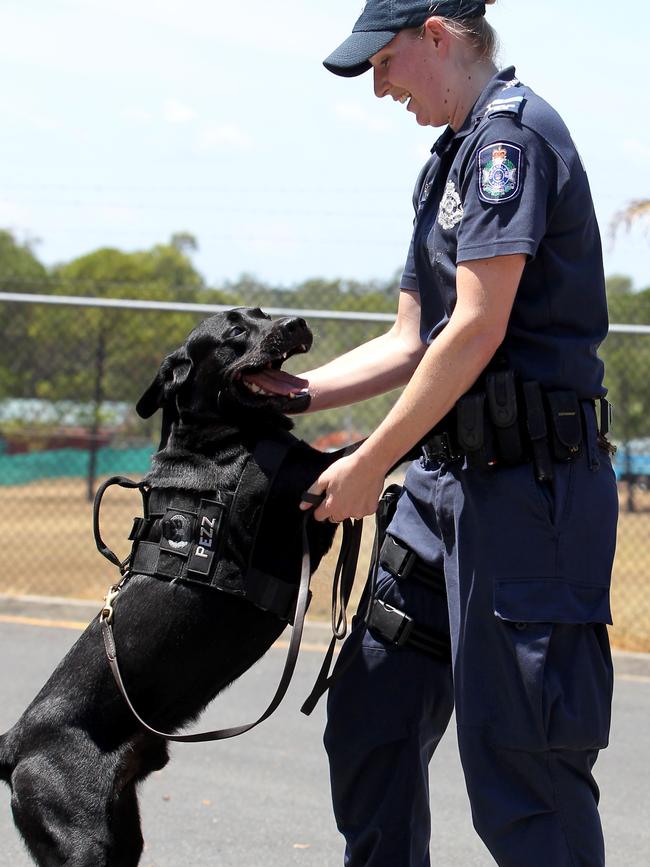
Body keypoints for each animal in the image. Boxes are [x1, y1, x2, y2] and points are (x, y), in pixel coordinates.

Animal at [0, 312, 342, 867]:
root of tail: (12, 745)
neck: (214, 437)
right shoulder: (308, 502)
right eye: (233, 333)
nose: (296, 322)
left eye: (262, 313)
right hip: (83, 841)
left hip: (122, 836)